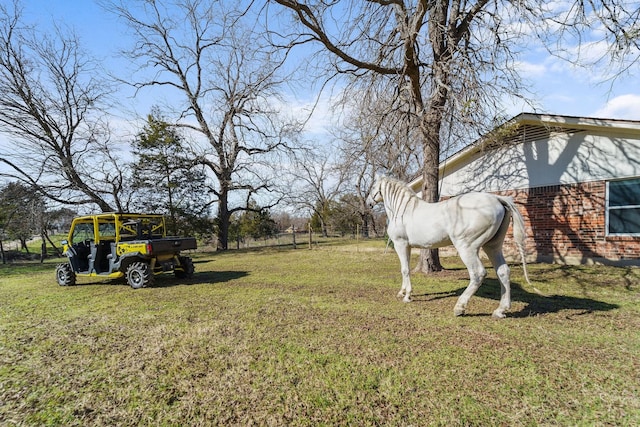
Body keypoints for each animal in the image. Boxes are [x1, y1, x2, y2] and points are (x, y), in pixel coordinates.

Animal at [370, 176, 528, 320]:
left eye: (373, 187)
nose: (369, 203)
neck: (403, 210)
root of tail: (496, 198)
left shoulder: (400, 244)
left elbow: (405, 270)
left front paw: (407, 296)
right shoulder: (407, 246)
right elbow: (405, 268)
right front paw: (402, 292)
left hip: (467, 248)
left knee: (478, 273)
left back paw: (459, 308)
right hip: (492, 247)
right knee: (503, 272)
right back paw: (500, 311)